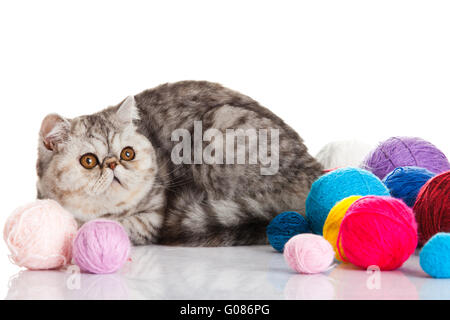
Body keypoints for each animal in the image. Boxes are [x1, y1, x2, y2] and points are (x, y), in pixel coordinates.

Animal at [36, 81, 324, 246]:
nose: (113, 164)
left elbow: (115, 226)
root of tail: (312, 171)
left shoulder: (151, 218)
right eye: (89, 161)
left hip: (217, 130)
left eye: (127, 154)